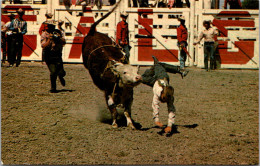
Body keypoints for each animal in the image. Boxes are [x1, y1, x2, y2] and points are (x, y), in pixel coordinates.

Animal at [82, 0, 141, 129]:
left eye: (136, 71)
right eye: (125, 72)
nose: (138, 77)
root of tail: (93, 32)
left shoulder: (129, 97)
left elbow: (127, 112)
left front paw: (131, 124)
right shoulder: (108, 94)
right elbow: (113, 110)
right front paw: (114, 123)